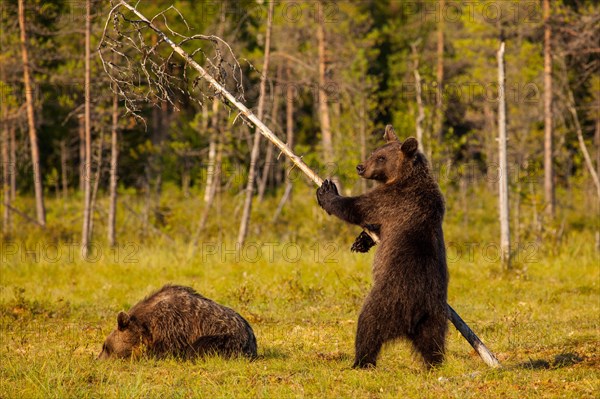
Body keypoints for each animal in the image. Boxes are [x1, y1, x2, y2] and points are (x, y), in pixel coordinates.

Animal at [316, 126, 448, 370]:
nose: (360, 167)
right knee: (433, 341)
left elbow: (358, 207)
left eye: (381, 158)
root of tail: (412, 318)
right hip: (434, 316)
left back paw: (360, 361)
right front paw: (361, 241)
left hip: (387, 300)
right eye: (374, 152)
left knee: (368, 325)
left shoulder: (393, 200)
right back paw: (434, 363)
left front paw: (327, 191)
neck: (402, 177)